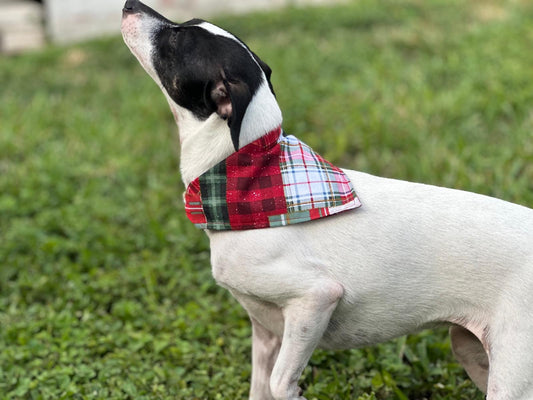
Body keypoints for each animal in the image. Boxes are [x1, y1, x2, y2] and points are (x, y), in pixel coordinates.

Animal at [121, 1, 532, 398]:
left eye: (176, 39)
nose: (128, 4)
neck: (247, 179)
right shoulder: (266, 331)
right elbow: (260, 387)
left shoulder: (314, 299)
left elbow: (280, 383)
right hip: (471, 349)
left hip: (510, 375)